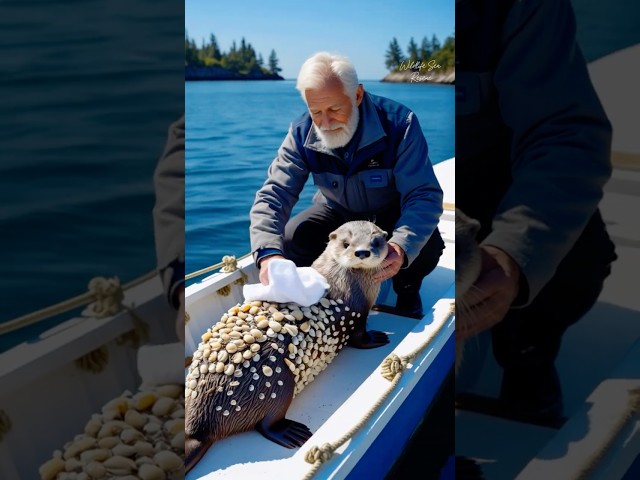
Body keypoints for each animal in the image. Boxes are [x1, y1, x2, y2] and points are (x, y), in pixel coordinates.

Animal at [185, 221, 390, 473]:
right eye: (346, 243)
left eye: (376, 241)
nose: (362, 252)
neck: (339, 281)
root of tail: (198, 426)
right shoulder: (357, 316)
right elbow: (359, 338)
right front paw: (377, 338)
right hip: (276, 384)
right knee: (266, 424)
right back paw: (291, 433)